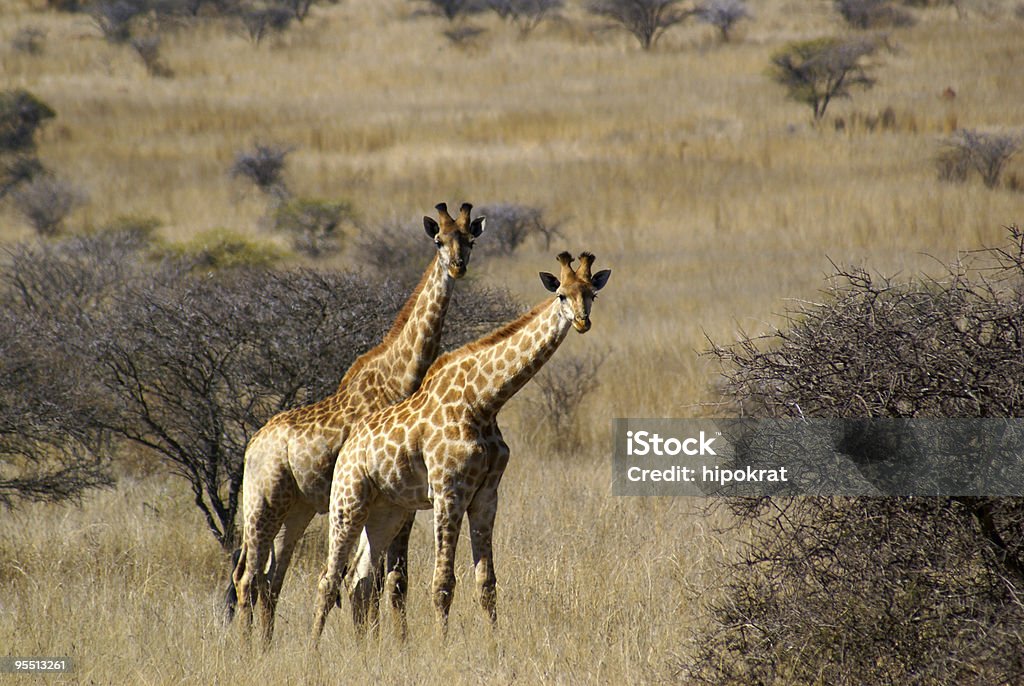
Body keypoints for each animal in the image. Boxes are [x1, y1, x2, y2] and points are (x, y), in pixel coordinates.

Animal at [230, 201, 485, 642]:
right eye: (438, 240)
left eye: (470, 239)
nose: (457, 267)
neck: (402, 377)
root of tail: (252, 445)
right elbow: (377, 580)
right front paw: (380, 642)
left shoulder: (400, 502)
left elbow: (389, 580)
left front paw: (389, 643)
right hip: (263, 502)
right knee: (248, 577)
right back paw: (246, 649)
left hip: (296, 509)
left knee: (270, 578)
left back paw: (265, 645)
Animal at [311, 250, 610, 638]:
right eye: (561, 294)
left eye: (592, 294)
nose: (583, 322)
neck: (484, 401)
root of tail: (348, 447)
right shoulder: (448, 493)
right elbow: (443, 583)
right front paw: (442, 644)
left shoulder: (486, 496)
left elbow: (487, 583)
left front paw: (496, 643)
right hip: (348, 501)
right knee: (328, 578)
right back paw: (313, 648)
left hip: (388, 510)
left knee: (360, 579)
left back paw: (364, 647)